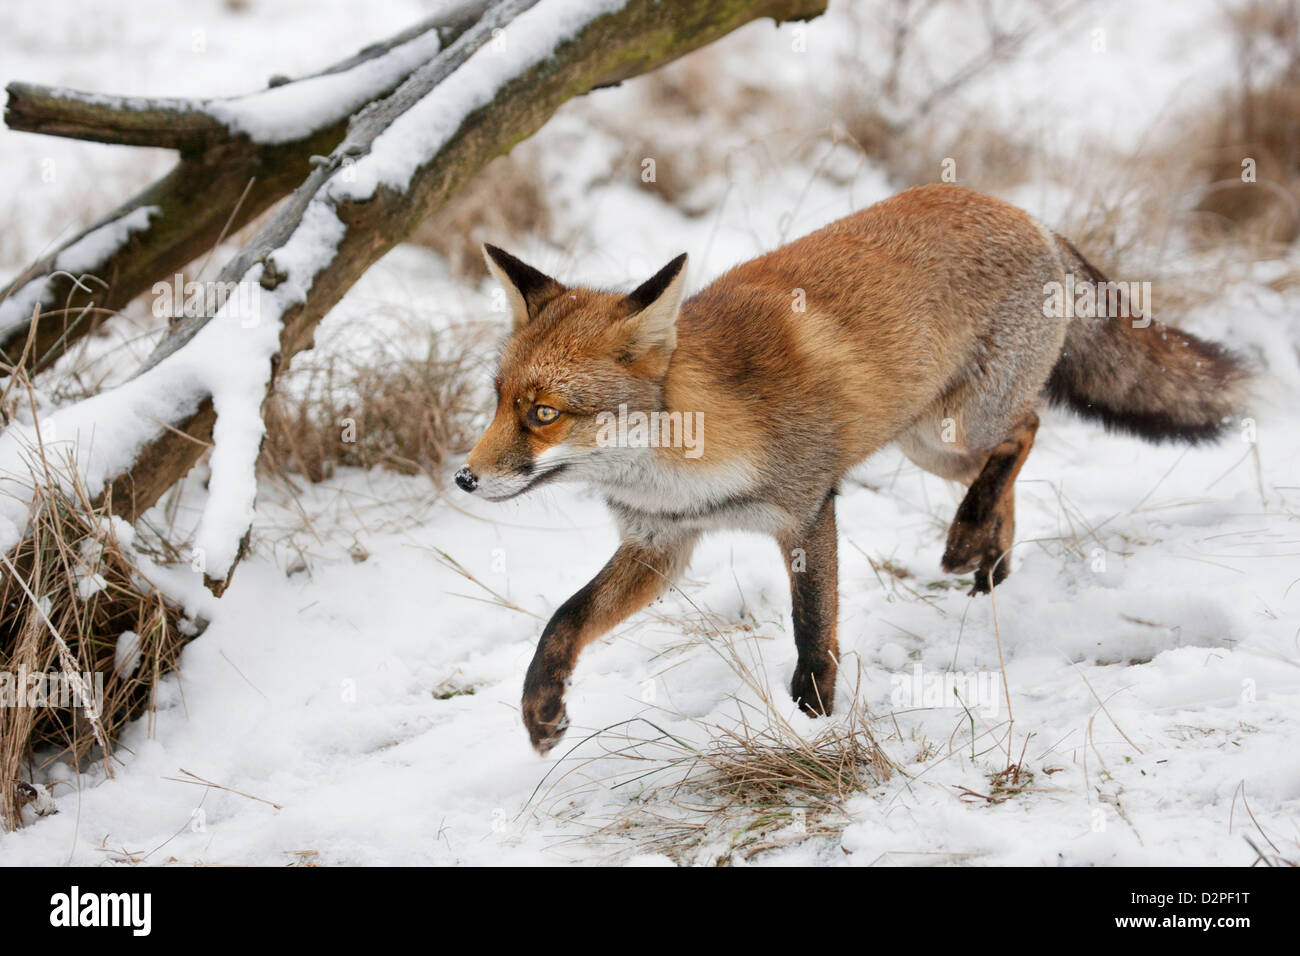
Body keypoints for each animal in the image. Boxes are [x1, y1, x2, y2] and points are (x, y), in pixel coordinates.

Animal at [457, 183, 1248, 749]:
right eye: (497, 400)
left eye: (544, 414)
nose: (464, 478)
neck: (688, 462)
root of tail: (1023, 212)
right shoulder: (662, 543)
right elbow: (565, 618)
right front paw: (541, 708)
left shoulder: (808, 509)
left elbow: (814, 628)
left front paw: (814, 720)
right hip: (926, 443)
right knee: (1005, 475)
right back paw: (991, 563)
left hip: (957, 422)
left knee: (1026, 430)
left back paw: (968, 538)